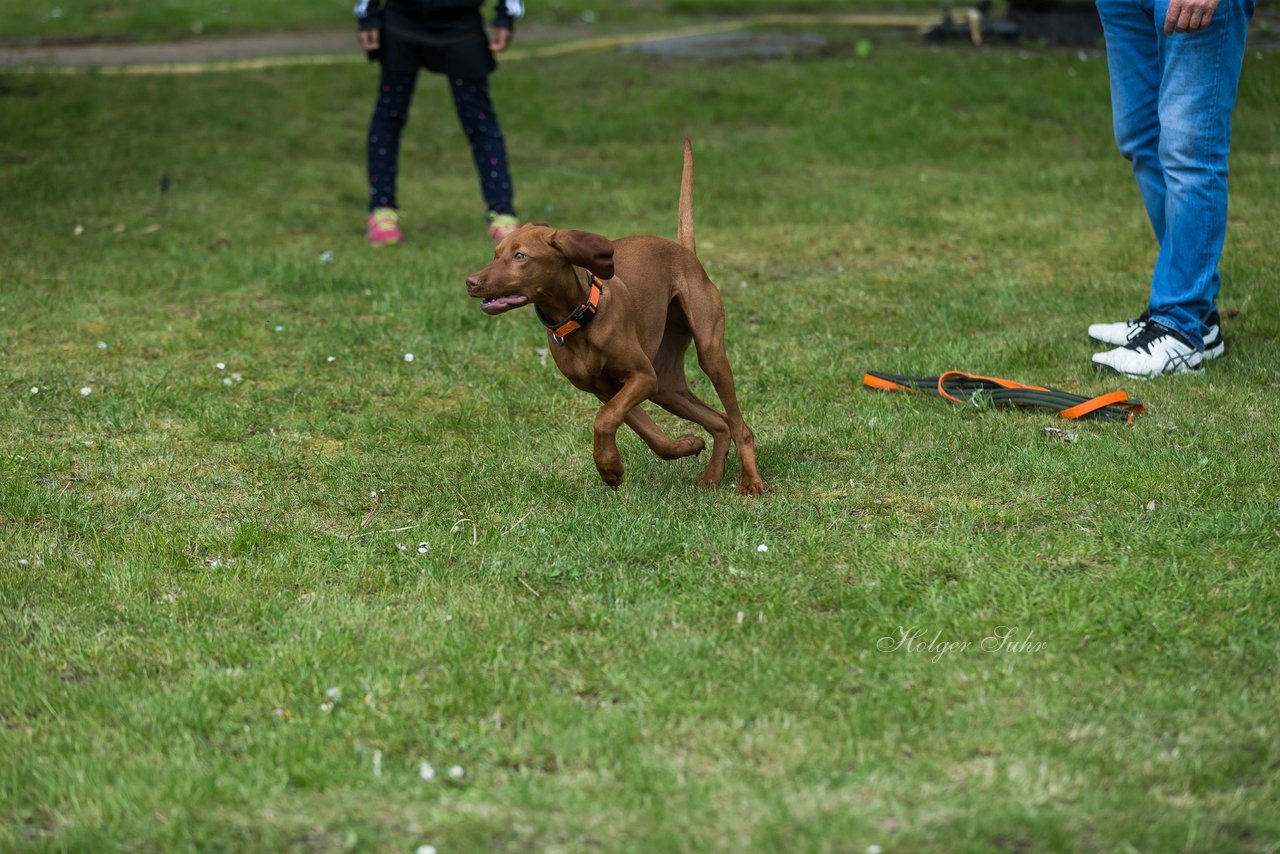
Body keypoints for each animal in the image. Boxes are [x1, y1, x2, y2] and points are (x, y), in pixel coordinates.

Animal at [468, 140, 757, 494]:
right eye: (496, 254)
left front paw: (609, 467)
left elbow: (604, 418)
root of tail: (685, 252)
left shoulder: (640, 377)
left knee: (739, 424)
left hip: (708, 353)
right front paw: (676, 448)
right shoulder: (608, 388)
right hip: (666, 384)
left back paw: (750, 481)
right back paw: (712, 475)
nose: (471, 282)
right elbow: (644, 431)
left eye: (520, 256)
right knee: (719, 421)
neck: (580, 318)